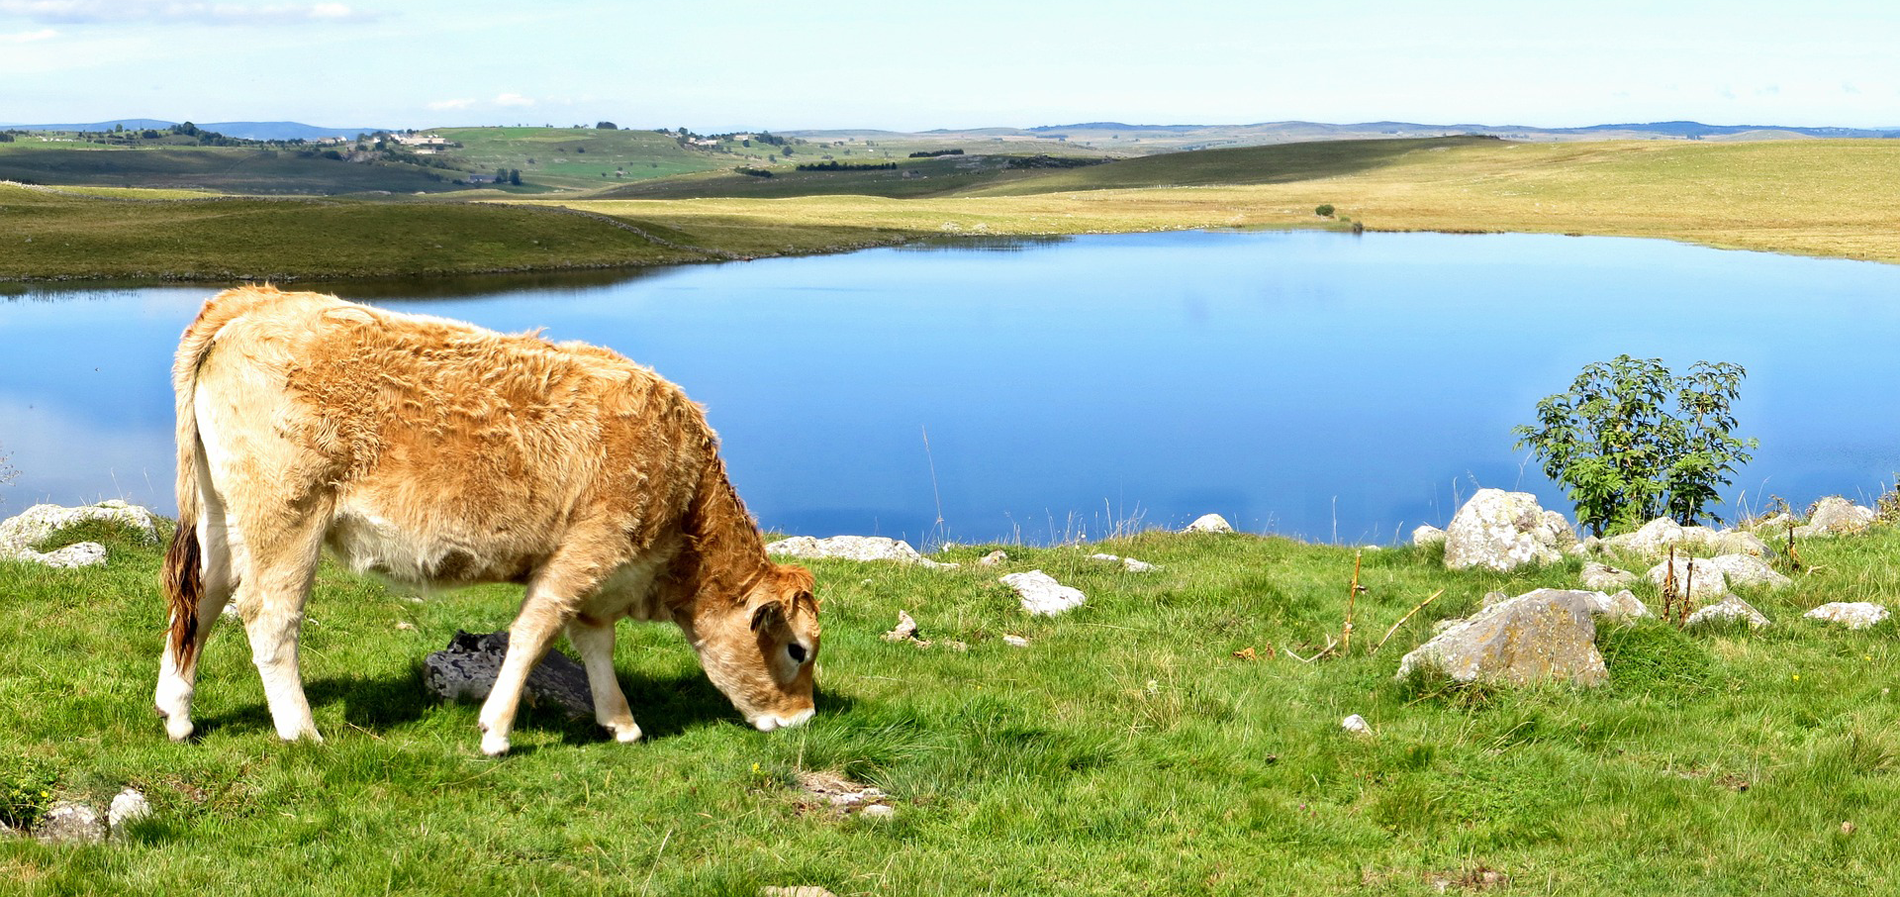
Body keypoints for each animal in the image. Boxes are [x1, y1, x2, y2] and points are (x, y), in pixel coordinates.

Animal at [155, 283, 824, 752]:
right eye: (798, 651)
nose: (805, 719)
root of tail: (257, 300)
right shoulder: (588, 548)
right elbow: (534, 632)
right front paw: (496, 731)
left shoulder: (601, 572)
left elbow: (594, 643)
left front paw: (620, 722)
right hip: (287, 514)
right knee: (269, 614)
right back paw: (301, 732)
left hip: (224, 512)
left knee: (201, 597)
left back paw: (177, 713)